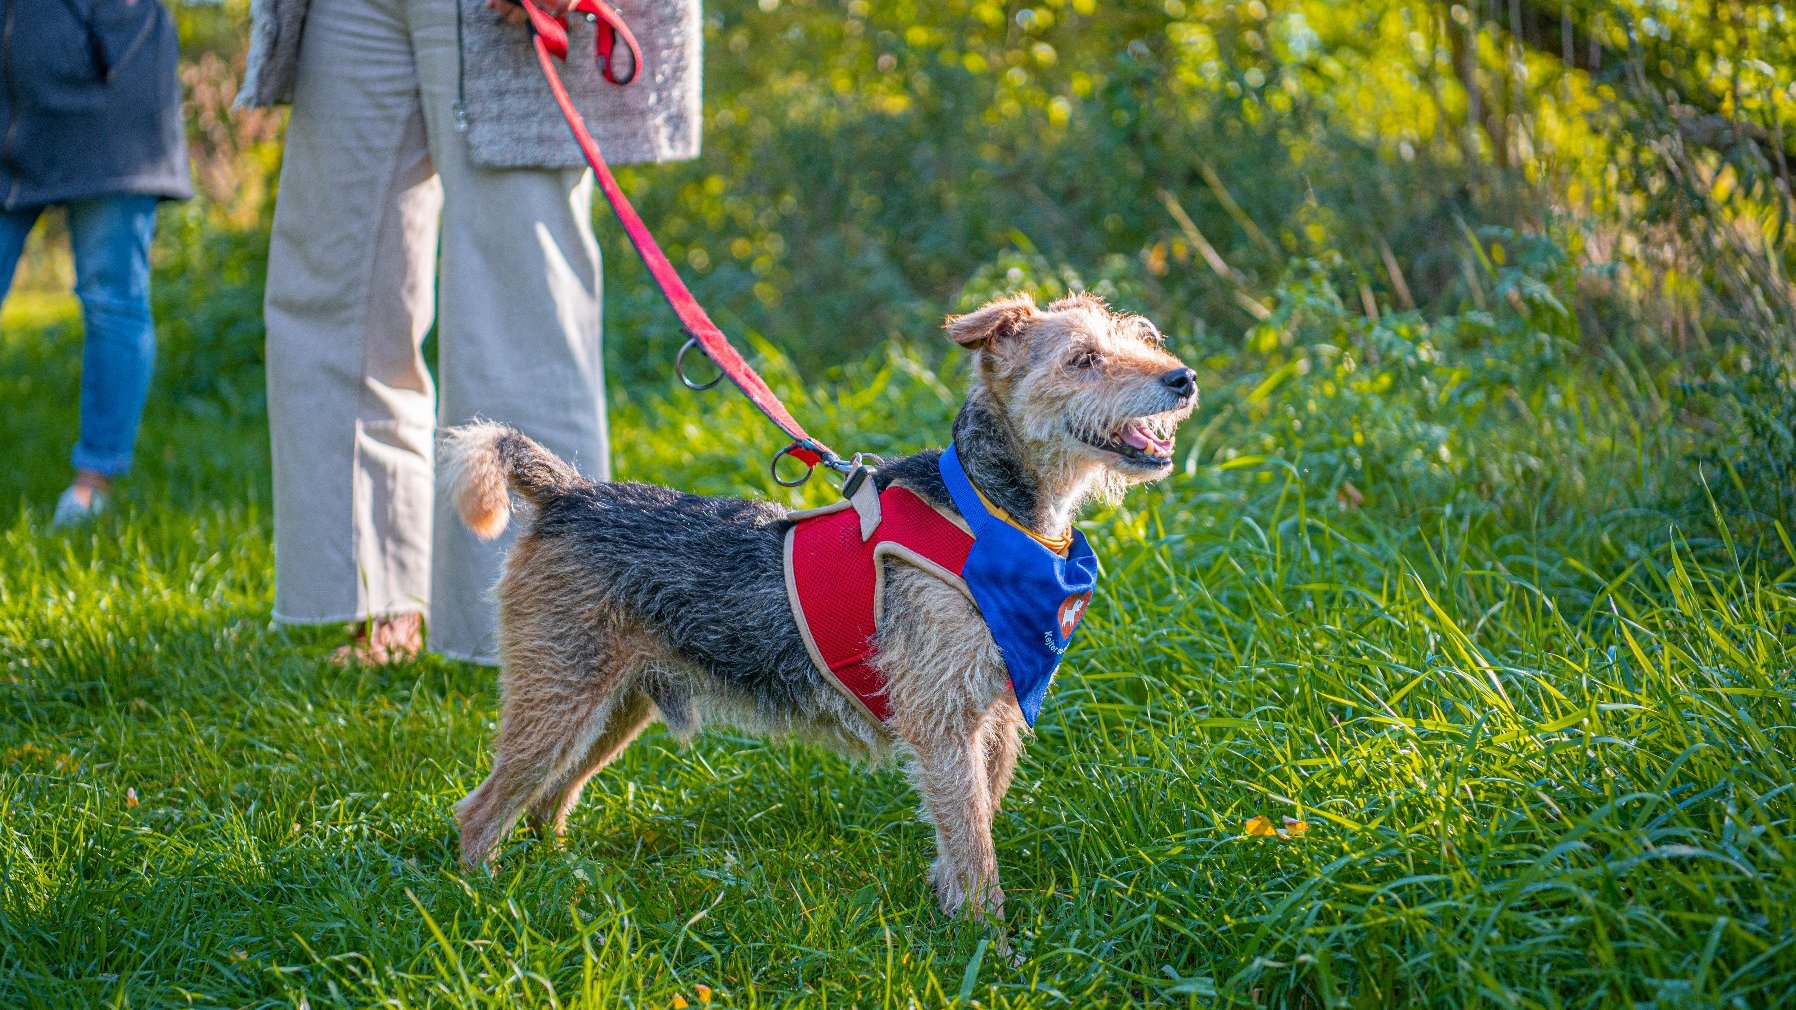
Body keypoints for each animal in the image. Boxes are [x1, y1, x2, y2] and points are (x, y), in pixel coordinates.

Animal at [438, 291, 1192, 920]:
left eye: (1140, 339)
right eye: (1083, 359)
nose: (1182, 378)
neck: (992, 510)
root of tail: (567, 491)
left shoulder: (996, 716)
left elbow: (969, 828)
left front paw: (952, 909)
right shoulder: (945, 721)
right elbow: (975, 847)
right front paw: (989, 946)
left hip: (614, 708)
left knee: (545, 803)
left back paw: (562, 879)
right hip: (559, 699)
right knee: (480, 811)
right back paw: (484, 903)